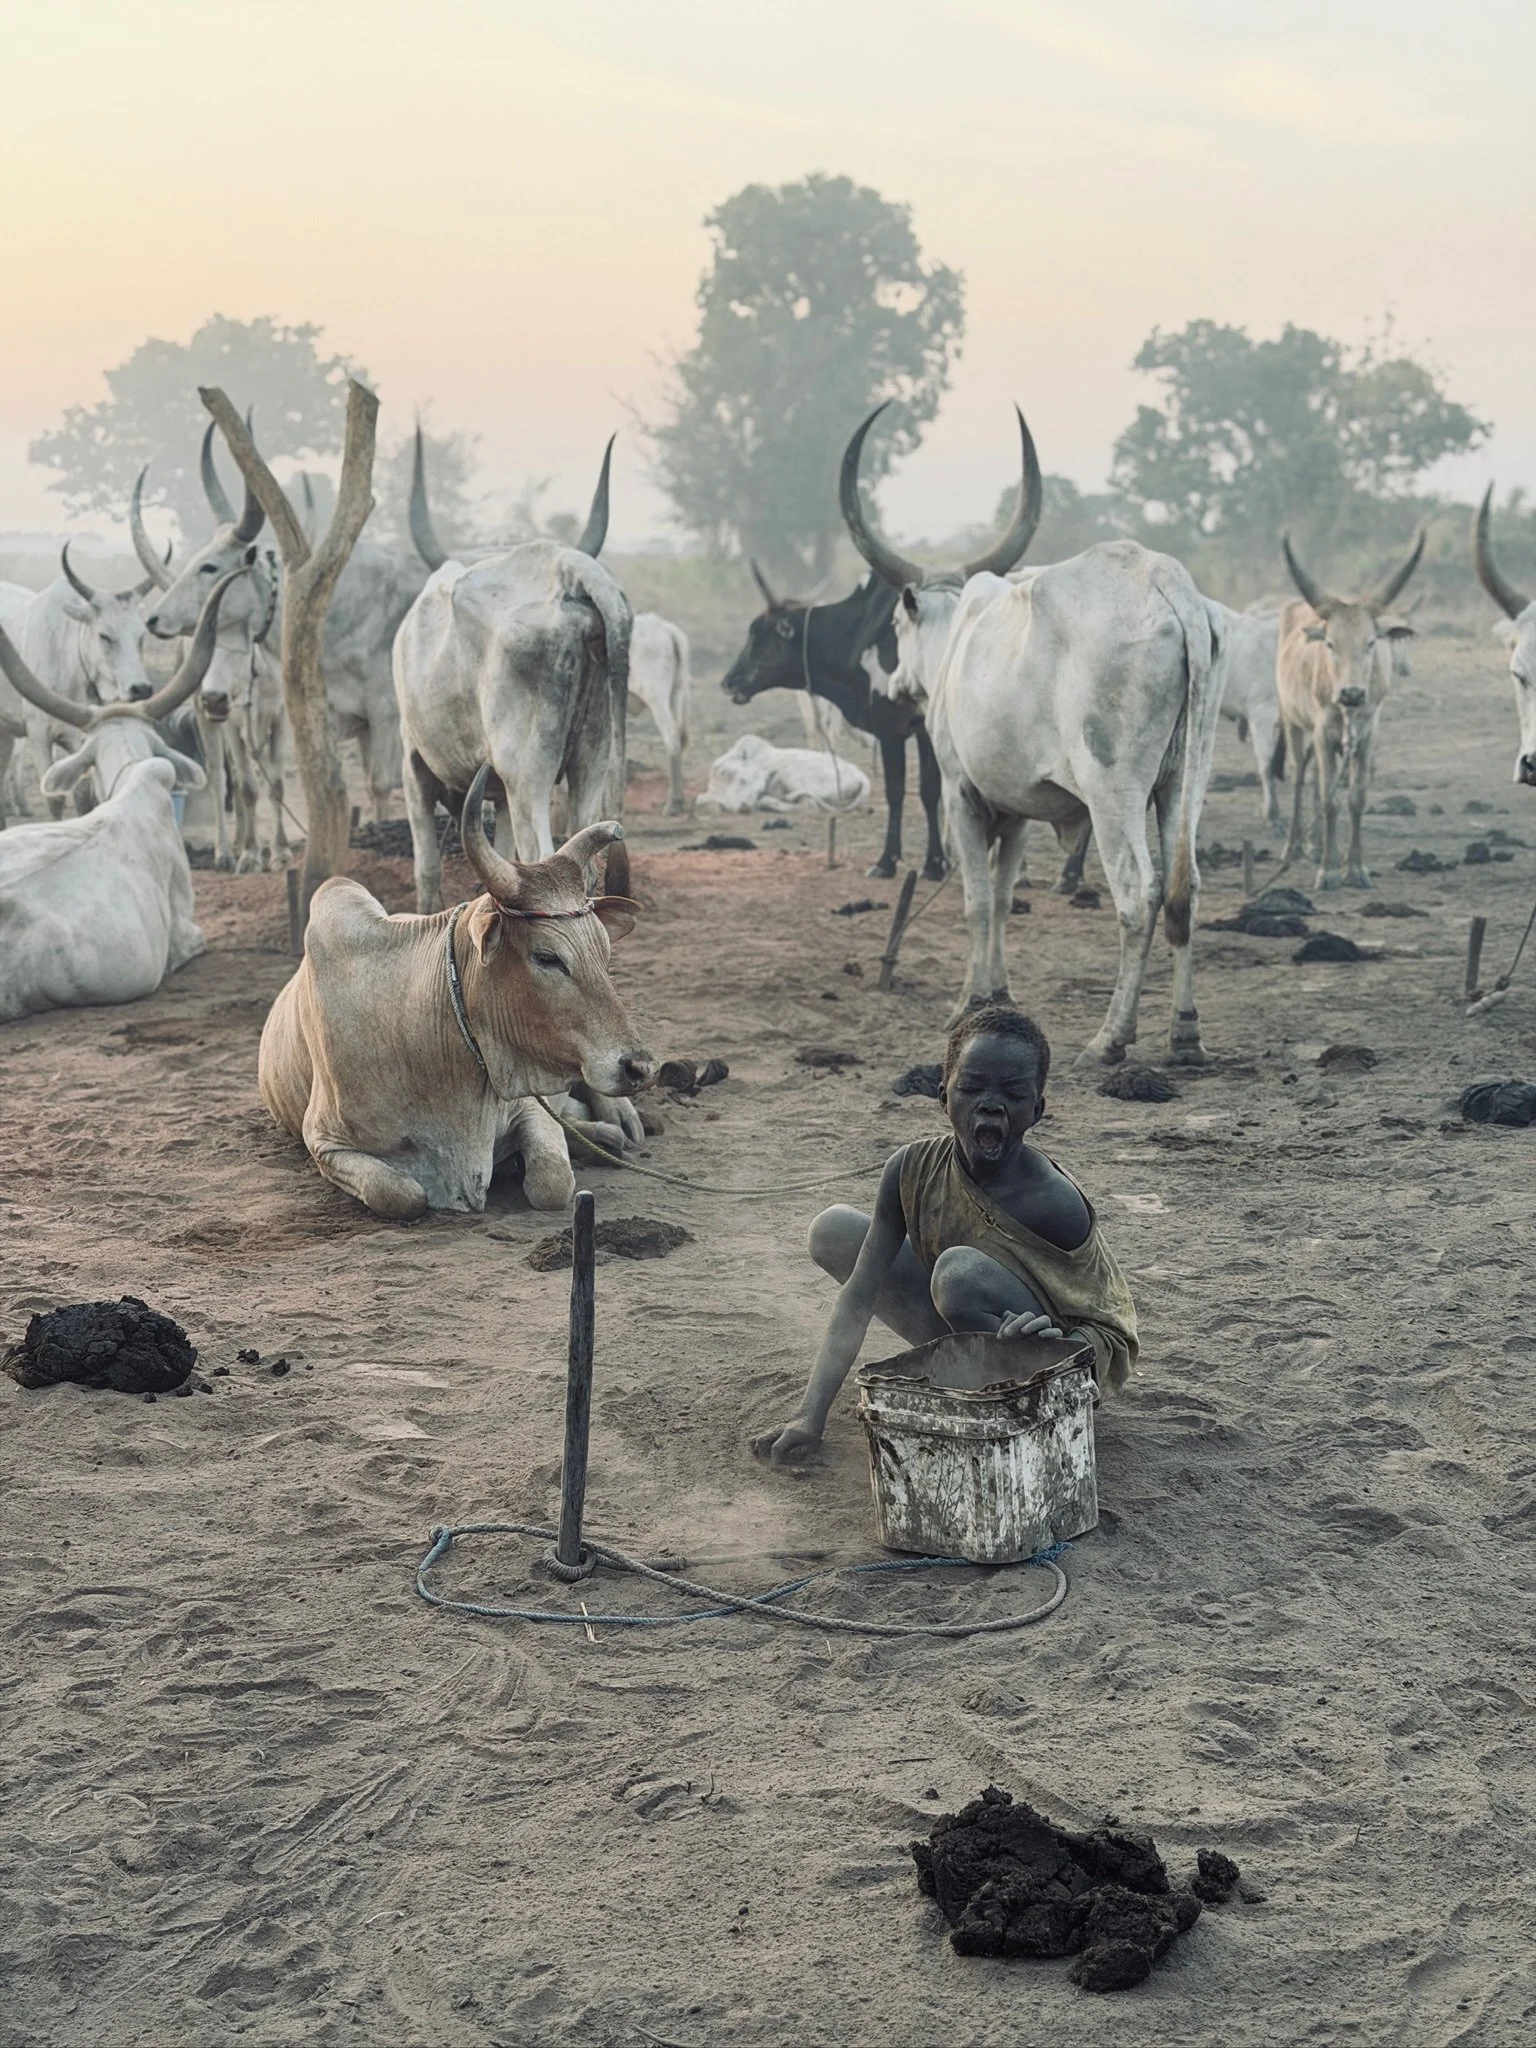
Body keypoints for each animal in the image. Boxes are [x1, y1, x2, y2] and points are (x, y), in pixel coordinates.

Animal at [257, 765, 653, 1218]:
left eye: (604, 951)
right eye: (547, 957)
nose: (639, 1067)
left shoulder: (525, 1104)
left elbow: (552, 1181)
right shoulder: (325, 1141)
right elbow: (401, 1196)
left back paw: (618, 1123)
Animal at [628, 611, 692, 813]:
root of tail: (666, 628)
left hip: (657, 697)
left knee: (671, 736)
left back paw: (673, 803)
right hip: (677, 693)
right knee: (678, 737)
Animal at [1274, 531, 1423, 889]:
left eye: (1371, 643)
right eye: (1330, 644)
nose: (1352, 693)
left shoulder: (1368, 734)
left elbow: (1356, 798)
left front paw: (1355, 867)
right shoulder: (1321, 732)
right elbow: (1330, 800)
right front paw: (1328, 870)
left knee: (1314, 775)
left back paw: (1314, 845)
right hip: (1292, 721)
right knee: (1300, 776)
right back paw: (1293, 847)